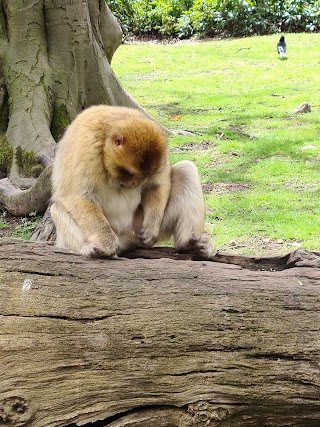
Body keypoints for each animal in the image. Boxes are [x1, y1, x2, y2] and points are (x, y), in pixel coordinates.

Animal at [50, 105, 215, 260]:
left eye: (145, 176)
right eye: (129, 173)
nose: (135, 183)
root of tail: (128, 238)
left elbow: (158, 183)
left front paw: (150, 229)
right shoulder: (86, 148)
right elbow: (76, 196)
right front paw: (105, 243)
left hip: (140, 227)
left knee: (186, 170)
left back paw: (190, 245)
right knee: (57, 208)